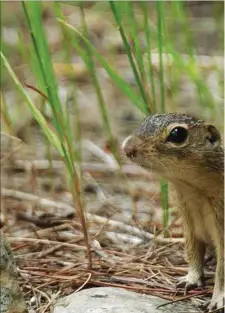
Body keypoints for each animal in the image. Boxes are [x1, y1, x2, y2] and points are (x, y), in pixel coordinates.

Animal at [122, 113, 224, 310]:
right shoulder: (190, 225)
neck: (193, 190)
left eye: (178, 134)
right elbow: (193, 253)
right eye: (146, 119)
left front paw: (219, 298)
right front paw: (190, 278)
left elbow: (222, 269)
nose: (127, 147)